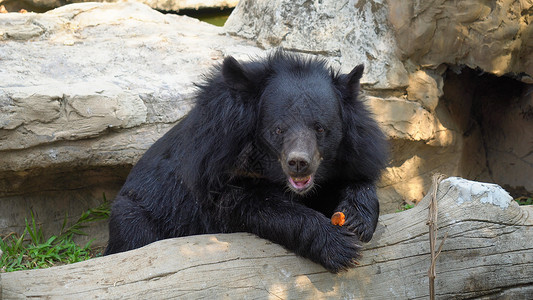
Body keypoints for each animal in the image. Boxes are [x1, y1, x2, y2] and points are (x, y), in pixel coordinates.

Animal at [104, 50, 386, 274]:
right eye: (278, 130)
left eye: (320, 128)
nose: (298, 163)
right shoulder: (217, 167)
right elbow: (257, 205)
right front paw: (338, 246)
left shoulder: (352, 153)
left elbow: (356, 178)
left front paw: (357, 219)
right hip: (136, 217)